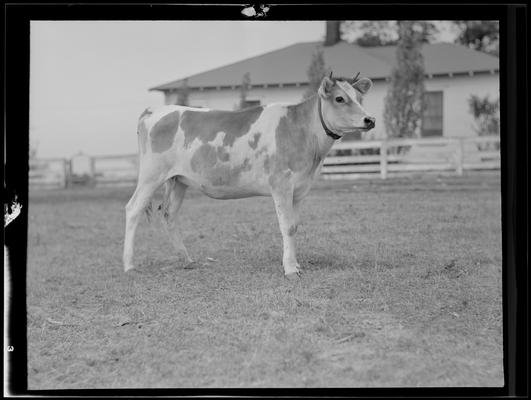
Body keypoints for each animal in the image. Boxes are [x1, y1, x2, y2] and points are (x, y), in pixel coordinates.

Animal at [122, 73, 376, 276]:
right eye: (340, 98)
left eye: (359, 97)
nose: (370, 119)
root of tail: (154, 111)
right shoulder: (281, 184)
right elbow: (286, 226)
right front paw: (290, 269)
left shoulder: (299, 189)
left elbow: (294, 226)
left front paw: (295, 264)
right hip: (151, 174)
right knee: (133, 209)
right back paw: (129, 264)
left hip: (178, 180)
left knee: (169, 214)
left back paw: (186, 259)